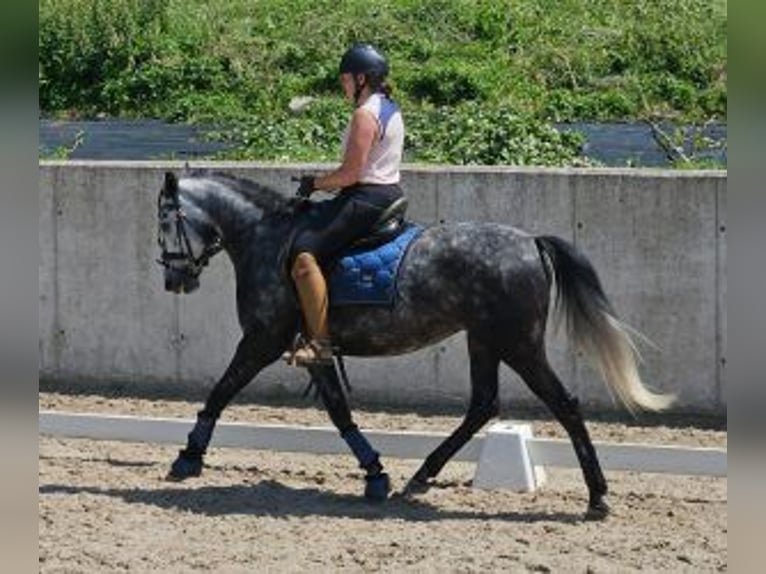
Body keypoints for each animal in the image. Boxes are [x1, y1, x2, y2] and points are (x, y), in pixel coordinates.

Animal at [155, 169, 673, 520]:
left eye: (163, 222)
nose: (173, 280)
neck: (266, 237)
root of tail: (530, 242)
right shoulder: (314, 350)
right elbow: (339, 410)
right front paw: (375, 474)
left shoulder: (263, 339)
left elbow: (221, 391)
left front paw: (187, 457)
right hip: (484, 340)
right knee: (483, 405)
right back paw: (420, 477)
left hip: (518, 343)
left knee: (563, 404)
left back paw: (598, 496)